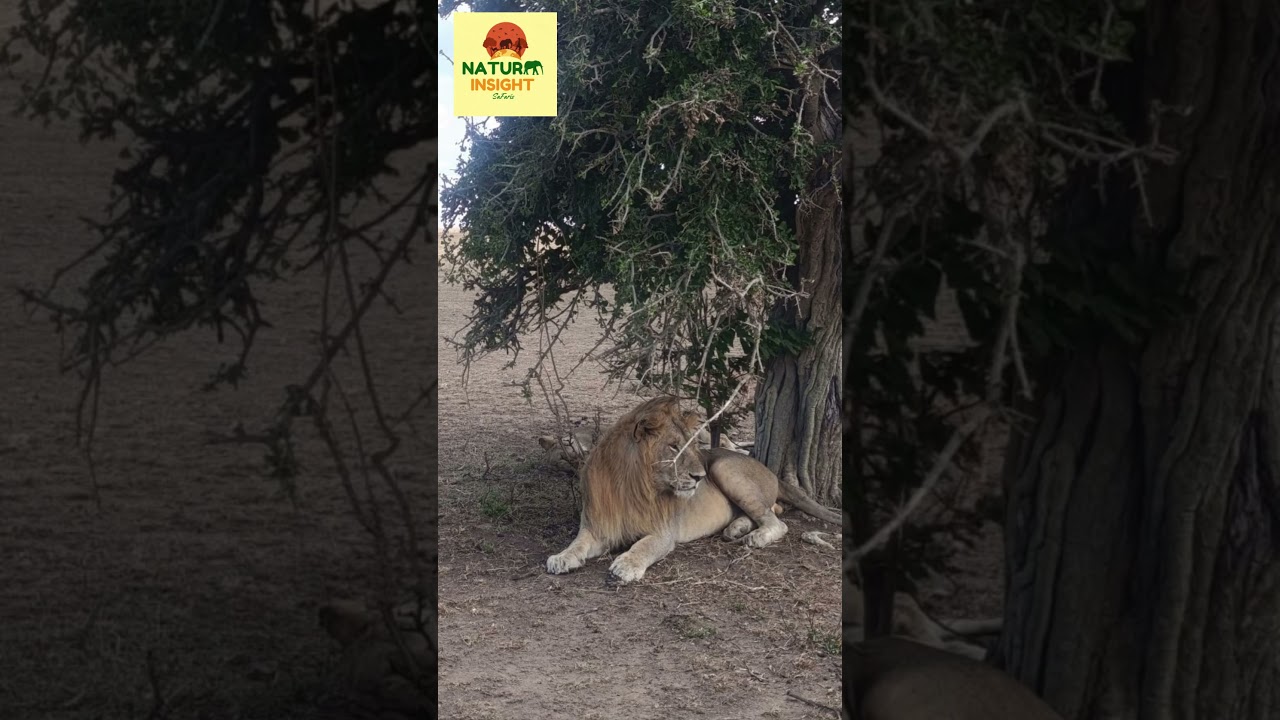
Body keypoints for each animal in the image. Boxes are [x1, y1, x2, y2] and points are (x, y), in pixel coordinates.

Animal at [545, 396, 793, 584]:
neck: (629, 487)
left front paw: (626, 565)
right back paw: (737, 529)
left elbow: (643, 546)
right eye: (674, 446)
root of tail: (771, 471)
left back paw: (755, 537)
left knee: (777, 521)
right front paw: (561, 557)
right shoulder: (598, 526)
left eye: (691, 445)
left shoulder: (663, 532)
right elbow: (578, 543)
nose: (700, 477)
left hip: (724, 468)